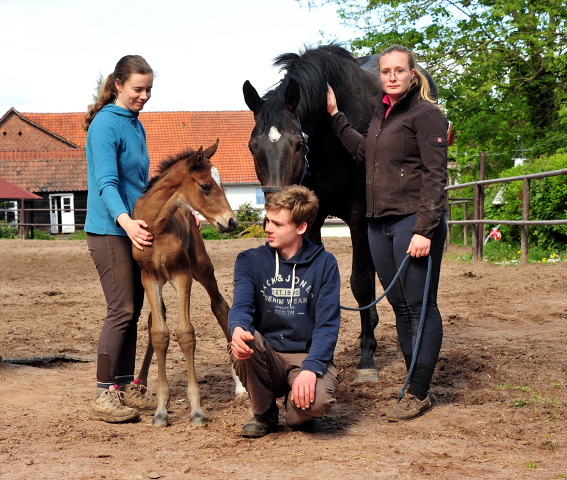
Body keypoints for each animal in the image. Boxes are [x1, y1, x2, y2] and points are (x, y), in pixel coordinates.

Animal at [134, 140, 245, 428]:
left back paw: (240, 386)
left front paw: (196, 409)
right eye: (205, 186)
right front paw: (161, 409)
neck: (156, 227)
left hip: (203, 269)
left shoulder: (182, 275)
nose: (231, 222)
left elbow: (185, 333)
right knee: (155, 318)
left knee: (220, 307)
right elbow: (159, 333)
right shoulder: (149, 277)